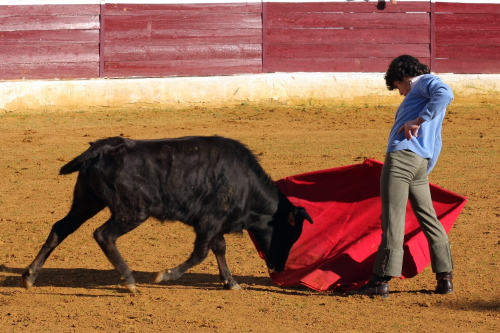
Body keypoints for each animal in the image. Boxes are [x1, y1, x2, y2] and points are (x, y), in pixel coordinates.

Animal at [23, 136, 314, 290]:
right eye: (289, 235)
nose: (279, 267)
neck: (246, 184)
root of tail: (102, 148)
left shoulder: (215, 223)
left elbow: (219, 248)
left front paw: (230, 282)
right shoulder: (209, 221)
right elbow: (200, 254)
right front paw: (166, 275)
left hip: (86, 202)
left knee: (60, 228)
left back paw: (29, 276)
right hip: (133, 210)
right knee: (103, 235)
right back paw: (129, 280)